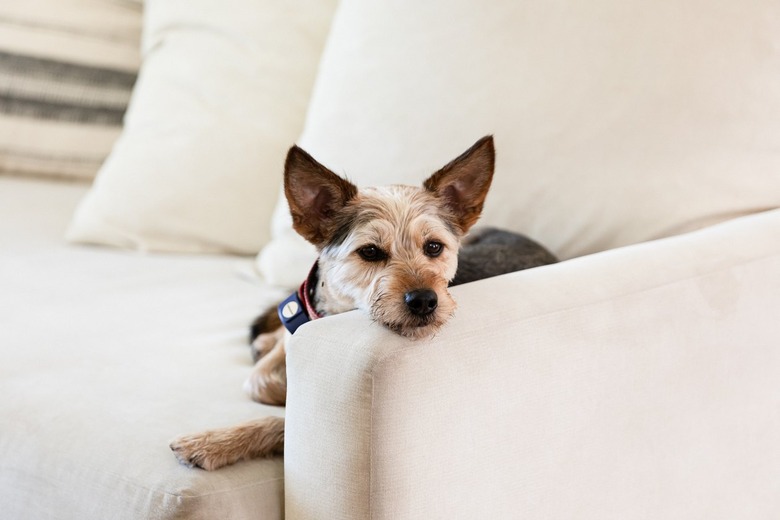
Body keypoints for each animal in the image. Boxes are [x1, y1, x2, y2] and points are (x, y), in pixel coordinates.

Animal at [171, 136, 560, 470]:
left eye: (434, 247)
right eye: (370, 252)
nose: (424, 300)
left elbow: (280, 415)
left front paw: (213, 443)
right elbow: (261, 375)